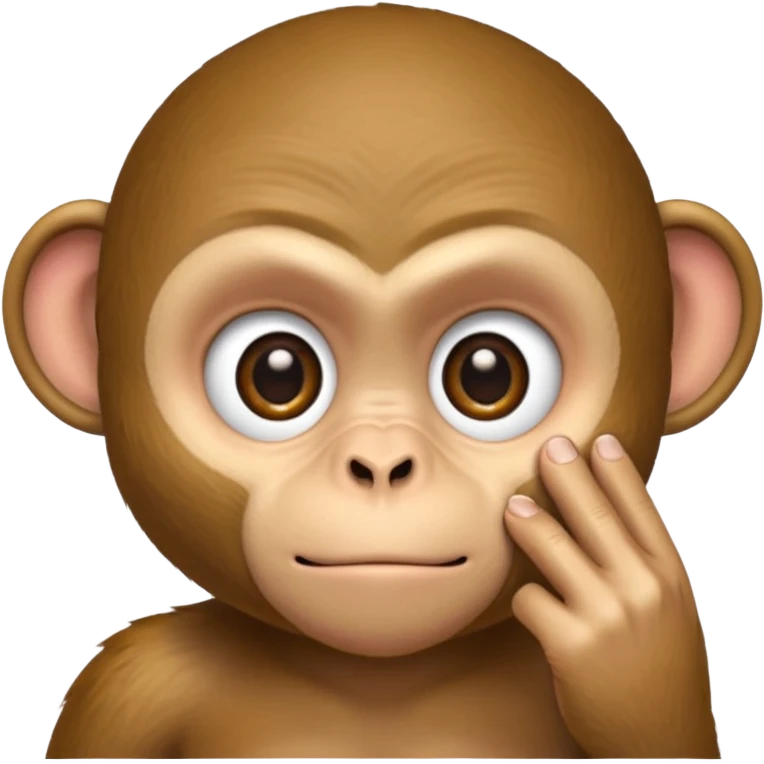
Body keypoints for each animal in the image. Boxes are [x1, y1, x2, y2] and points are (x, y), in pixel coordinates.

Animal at [3, 4, 759, 760]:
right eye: (275, 372)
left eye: (488, 372)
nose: (382, 464)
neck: (380, 677)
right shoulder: (129, 680)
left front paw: (629, 640)